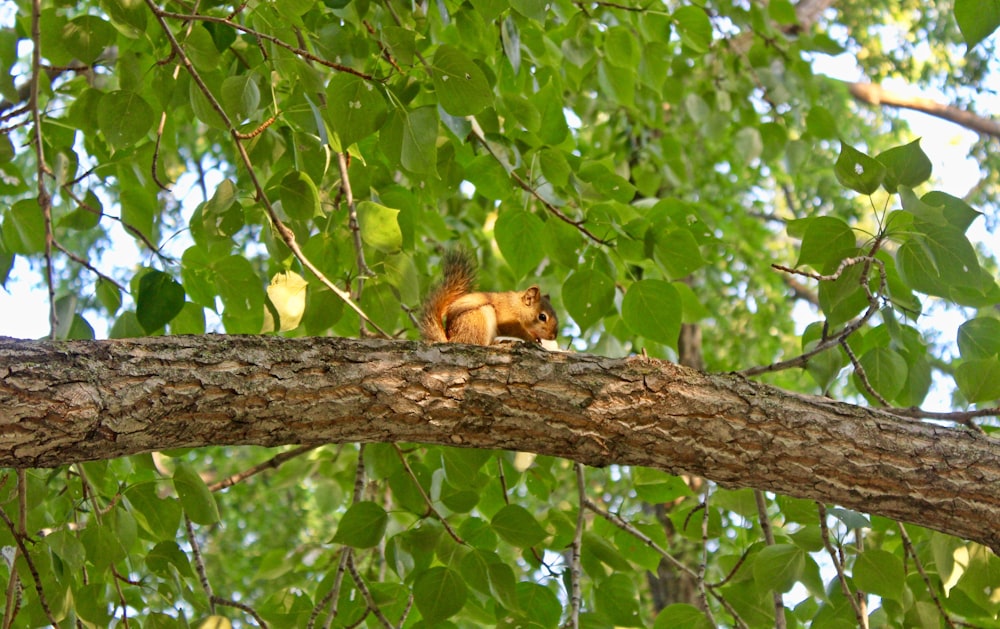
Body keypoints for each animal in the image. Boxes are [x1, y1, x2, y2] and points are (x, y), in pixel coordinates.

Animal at [420, 250, 564, 346]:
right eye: (542, 317)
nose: (553, 336)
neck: (517, 307)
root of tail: (451, 339)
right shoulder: (507, 317)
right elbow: (516, 330)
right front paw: (532, 339)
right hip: (478, 320)